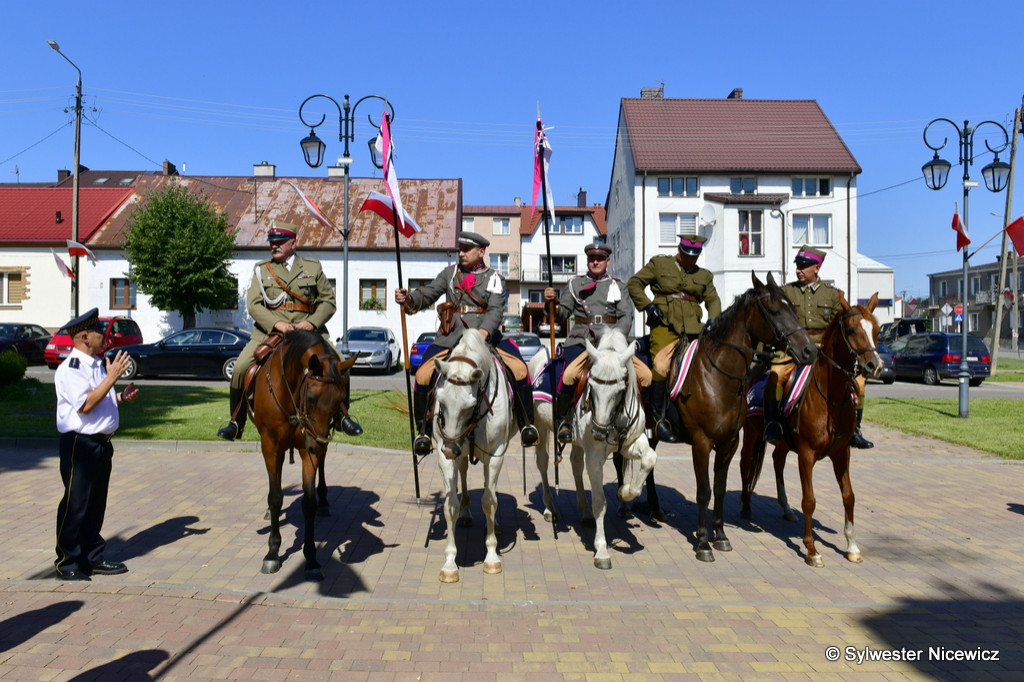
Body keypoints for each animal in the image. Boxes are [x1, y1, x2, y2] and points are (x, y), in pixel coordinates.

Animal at [249, 327, 358, 577]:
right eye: (310, 398)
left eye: (341, 399)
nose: (318, 444)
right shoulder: (271, 447)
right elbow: (275, 497)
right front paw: (272, 553)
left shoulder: (309, 450)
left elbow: (309, 503)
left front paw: (311, 557)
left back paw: (325, 501)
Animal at [428, 327, 516, 577]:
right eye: (441, 401)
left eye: (469, 405)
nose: (450, 449)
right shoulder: (444, 455)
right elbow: (450, 505)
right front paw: (449, 563)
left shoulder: (495, 454)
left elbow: (489, 501)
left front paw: (492, 556)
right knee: (465, 471)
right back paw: (467, 514)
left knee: (490, 488)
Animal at [532, 329, 659, 569]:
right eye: (591, 385)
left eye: (620, 390)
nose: (599, 431)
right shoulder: (595, 457)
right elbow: (600, 501)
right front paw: (601, 550)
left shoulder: (631, 443)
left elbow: (649, 459)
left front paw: (625, 492)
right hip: (541, 428)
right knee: (543, 463)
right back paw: (549, 508)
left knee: (575, 465)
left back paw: (584, 512)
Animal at [651, 272, 819, 561]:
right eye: (775, 310)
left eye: (794, 309)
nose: (809, 351)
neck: (717, 376)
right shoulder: (701, 442)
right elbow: (704, 491)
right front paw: (703, 542)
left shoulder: (729, 443)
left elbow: (719, 488)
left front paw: (720, 536)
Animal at [741, 294, 884, 565]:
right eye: (852, 330)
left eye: (877, 330)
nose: (875, 365)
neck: (831, 399)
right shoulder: (806, 455)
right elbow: (809, 500)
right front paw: (811, 550)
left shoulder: (842, 453)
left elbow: (849, 496)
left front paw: (852, 546)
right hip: (751, 434)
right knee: (746, 465)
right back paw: (745, 508)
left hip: (784, 442)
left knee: (777, 460)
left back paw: (786, 508)